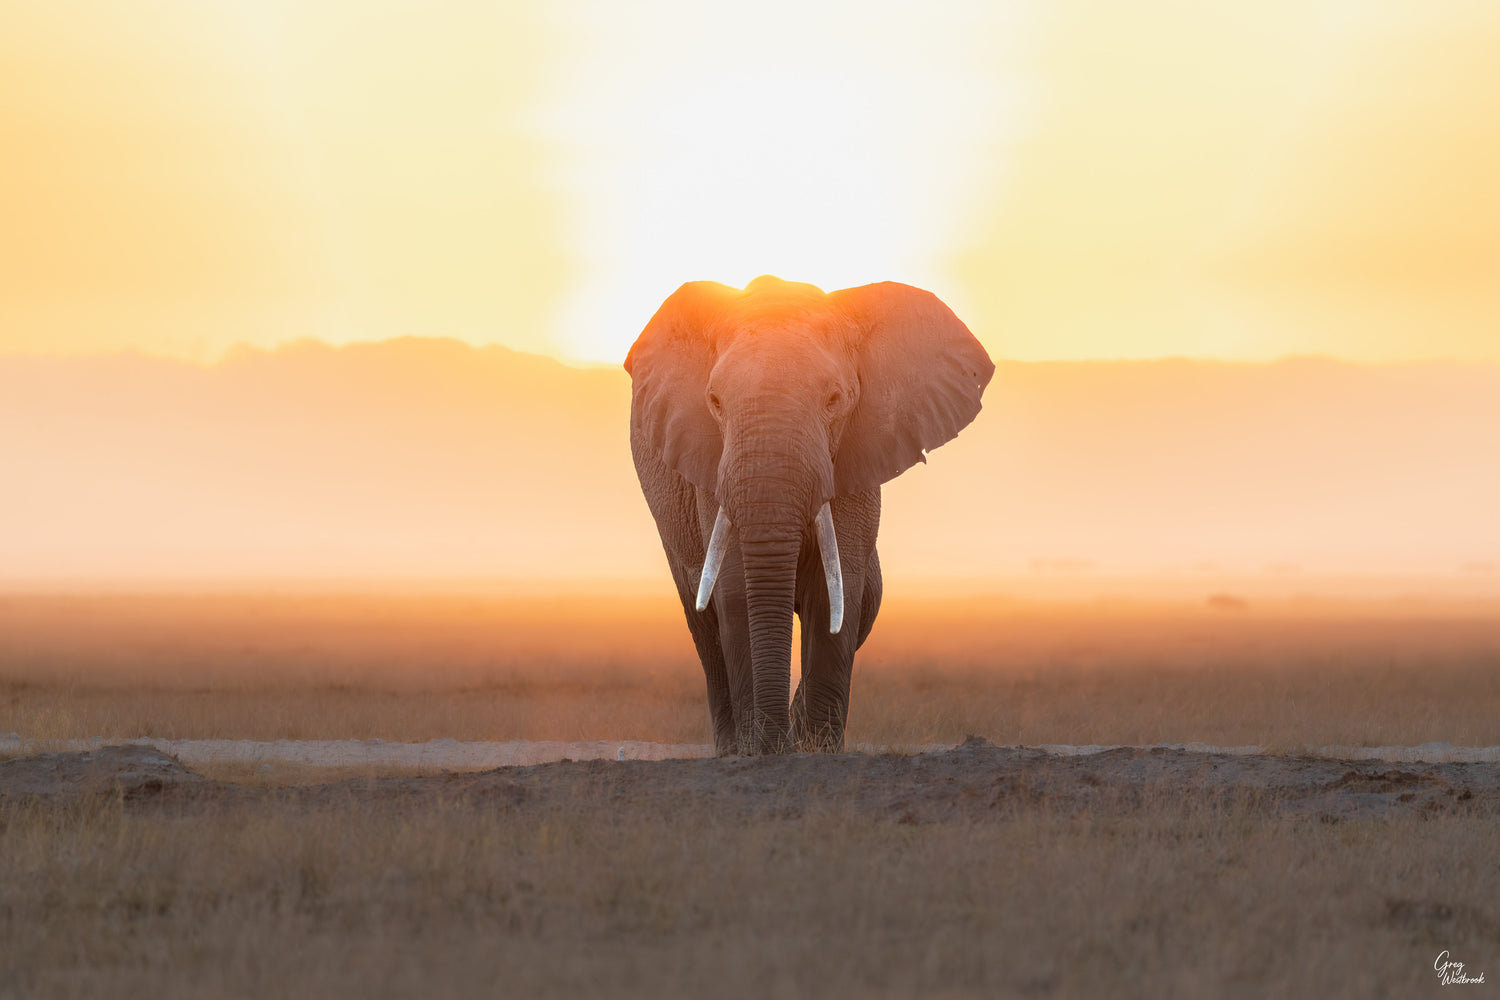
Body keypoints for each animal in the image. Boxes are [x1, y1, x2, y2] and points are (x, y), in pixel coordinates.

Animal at [625, 275, 994, 756]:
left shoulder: (857, 450)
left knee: (867, 596)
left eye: (834, 400)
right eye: (715, 402)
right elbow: (734, 590)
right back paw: (732, 747)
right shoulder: (710, 466)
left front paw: (816, 749)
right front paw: (760, 751)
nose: (774, 743)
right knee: (701, 619)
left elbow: (836, 590)